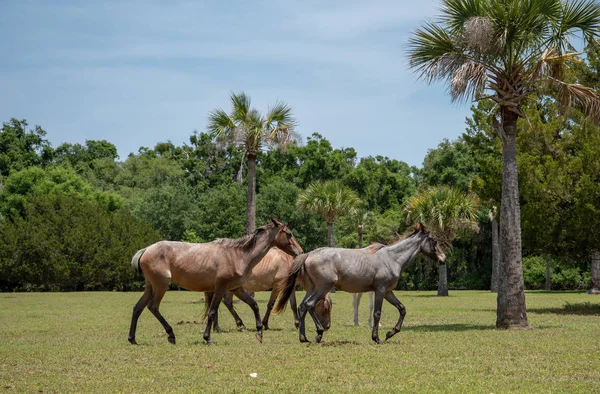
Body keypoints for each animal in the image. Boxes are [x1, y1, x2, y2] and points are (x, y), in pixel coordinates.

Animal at [128, 219, 302, 344]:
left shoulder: (236, 288)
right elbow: (212, 311)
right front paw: (207, 338)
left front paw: (259, 332)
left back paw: (132, 339)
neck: (238, 255)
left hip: (151, 287)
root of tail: (145, 250)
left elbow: (254, 305)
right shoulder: (221, 287)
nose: (300, 251)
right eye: (289, 233)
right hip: (161, 286)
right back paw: (171, 335)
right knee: (153, 307)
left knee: (138, 308)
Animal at [203, 248, 332, 334]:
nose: (327, 327)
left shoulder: (290, 288)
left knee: (226, 303)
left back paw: (227, 326)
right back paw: (223, 327)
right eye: (325, 308)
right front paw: (265, 323)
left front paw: (297, 323)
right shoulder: (277, 286)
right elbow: (270, 305)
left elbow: (293, 305)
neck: (288, 261)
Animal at [274, 225, 448, 344]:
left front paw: (390, 333)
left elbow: (402, 309)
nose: (443, 259)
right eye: (434, 241)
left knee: (302, 307)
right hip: (323, 288)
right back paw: (319, 332)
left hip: (312, 289)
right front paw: (377, 338)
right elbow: (377, 313)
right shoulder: (380, 290)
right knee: (309, 305)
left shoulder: (388, 292)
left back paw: (304, 338)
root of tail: (309, 254)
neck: (392, 258)